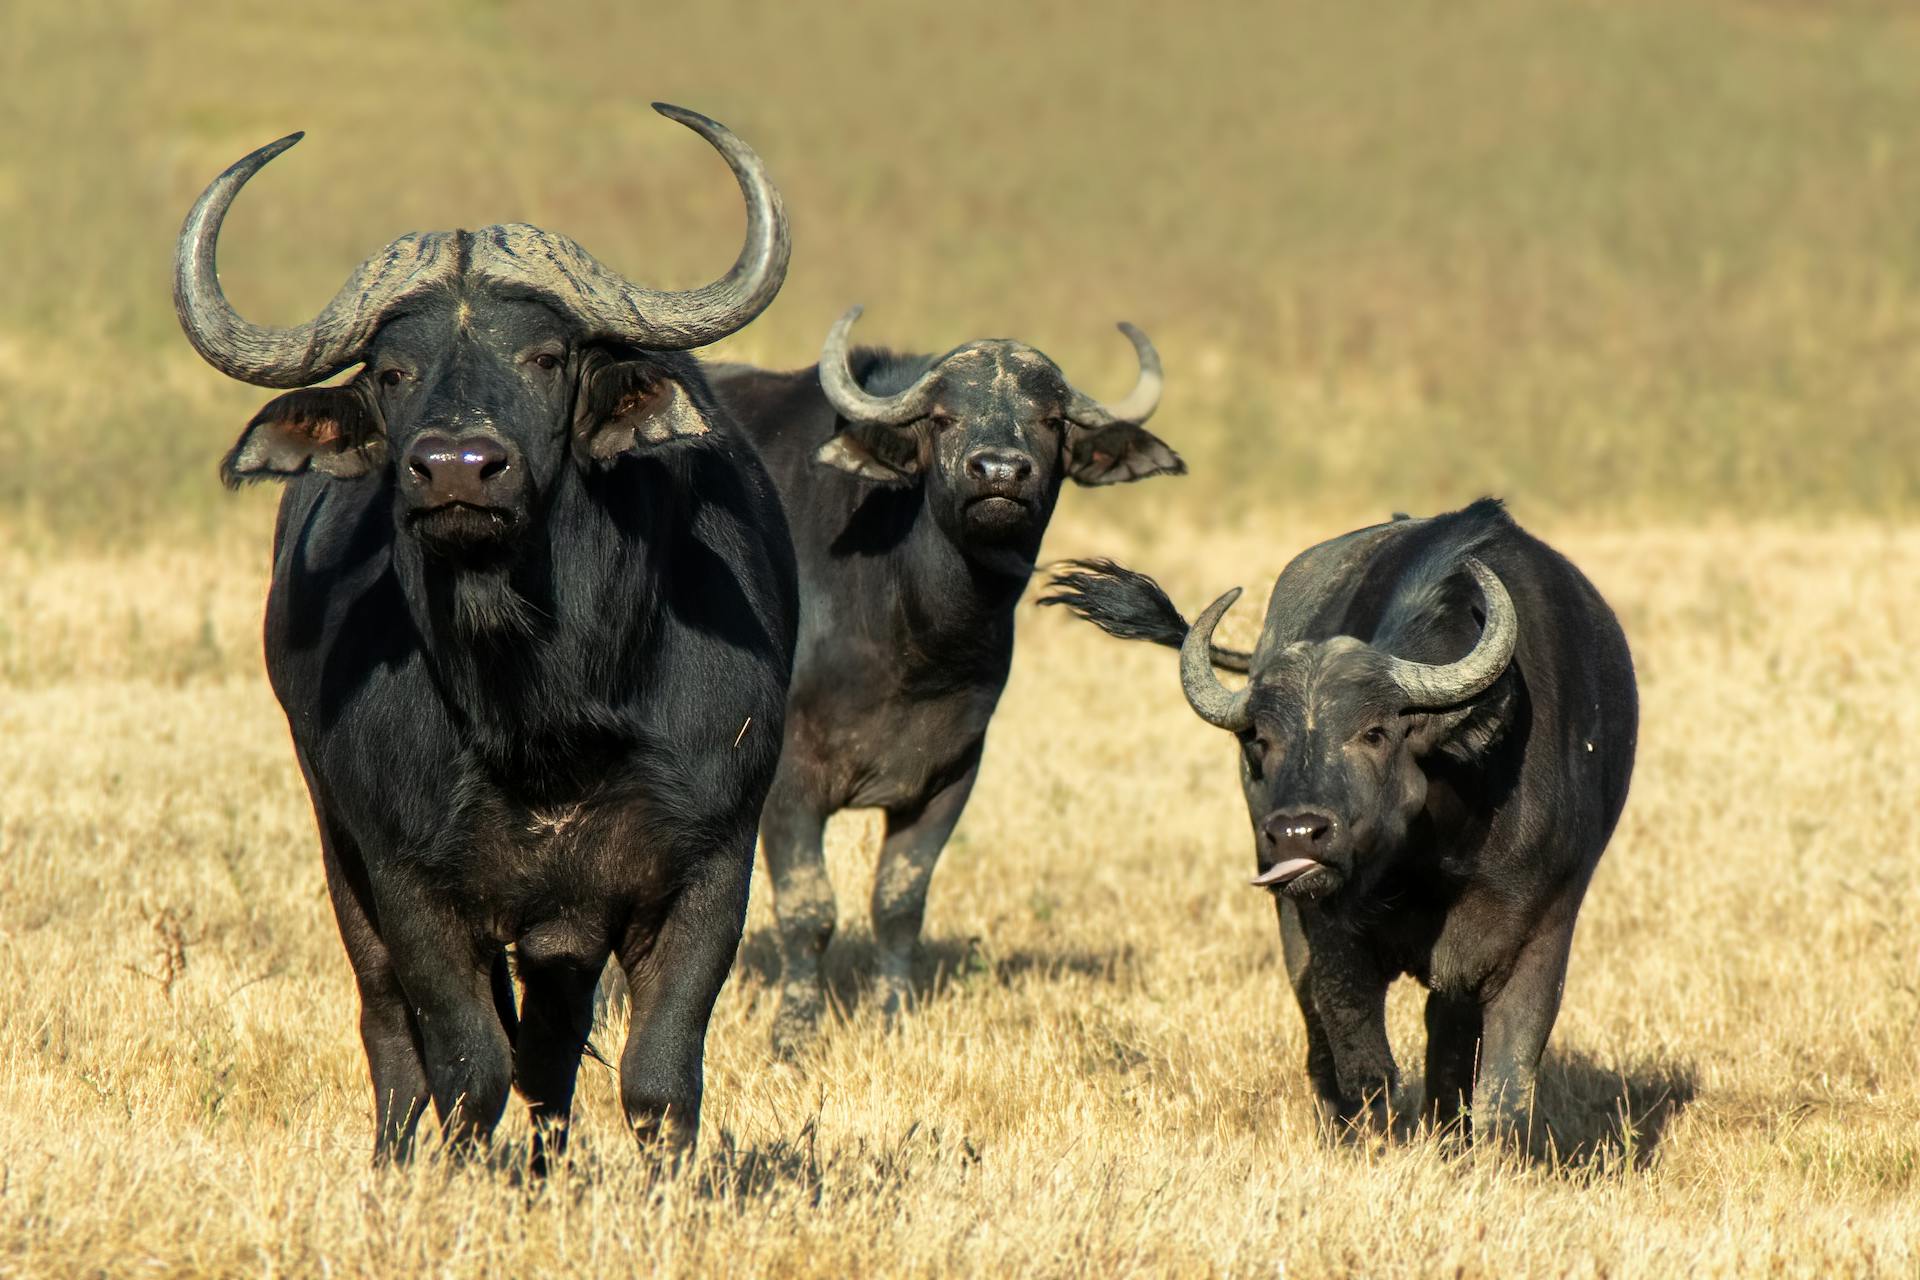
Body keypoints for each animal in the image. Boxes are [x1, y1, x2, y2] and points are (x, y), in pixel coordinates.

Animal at [178, 107, 802, 1174]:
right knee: (391, 1030)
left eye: (545, 357)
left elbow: (657, 1073)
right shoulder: (409, 876)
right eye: (393, 371)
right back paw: (394, 1159)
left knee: (550, 1042)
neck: (542, 707)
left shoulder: (709, 864)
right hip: (337, 842)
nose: (459, 468)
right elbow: (466, 1064)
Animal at [706, 307, 1182, 1051]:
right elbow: (809, 910)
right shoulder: (787, 780)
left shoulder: (951, 774)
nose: (999, 472)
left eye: (1050, 418)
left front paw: (893, 1018)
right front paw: (794, 1035)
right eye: (942, 417)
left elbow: (899, 902)